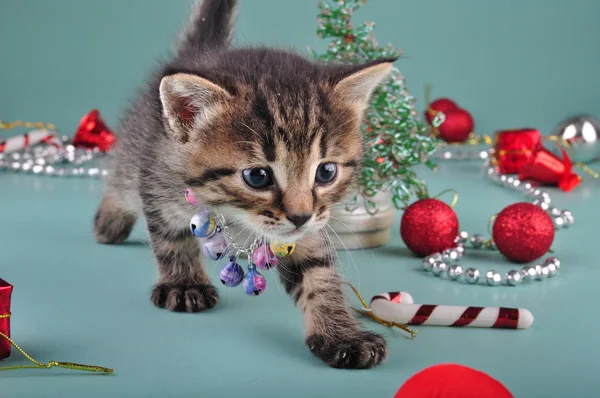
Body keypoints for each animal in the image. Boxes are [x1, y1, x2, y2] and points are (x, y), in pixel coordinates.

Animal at [95, 0, 394, 368]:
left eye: (325, 172)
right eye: (257, 177)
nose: (300, 216)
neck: (234, 214)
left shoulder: (307, 230)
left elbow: (318, 271)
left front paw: (342, 334)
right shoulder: (160, 180)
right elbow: (172, 237)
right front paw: (184, 283)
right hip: (140, 151)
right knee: (121, 179)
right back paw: (109, 220)